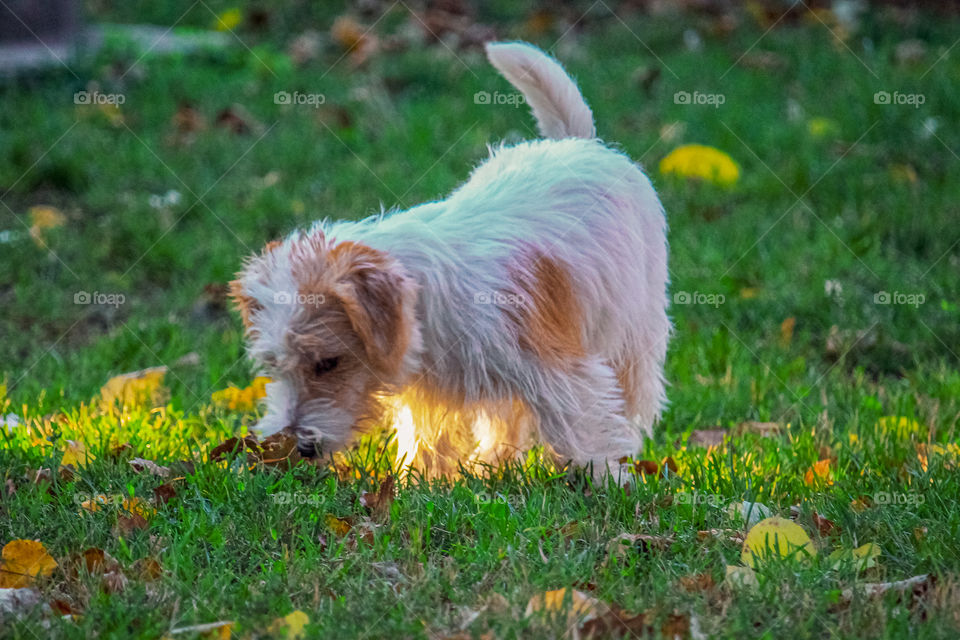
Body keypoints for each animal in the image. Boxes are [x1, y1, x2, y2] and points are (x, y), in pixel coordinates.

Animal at [232, 41, 668, 480]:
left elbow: (584, 428)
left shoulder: (559, 371)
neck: (424, 303)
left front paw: (606, 480)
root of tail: (577, 142)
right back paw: (491, 464)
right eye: (275, 366)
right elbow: (429, 438)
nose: (300, 448)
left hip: (633, 334)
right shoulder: (431, 393)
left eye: (327, 363)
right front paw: (422, 479)